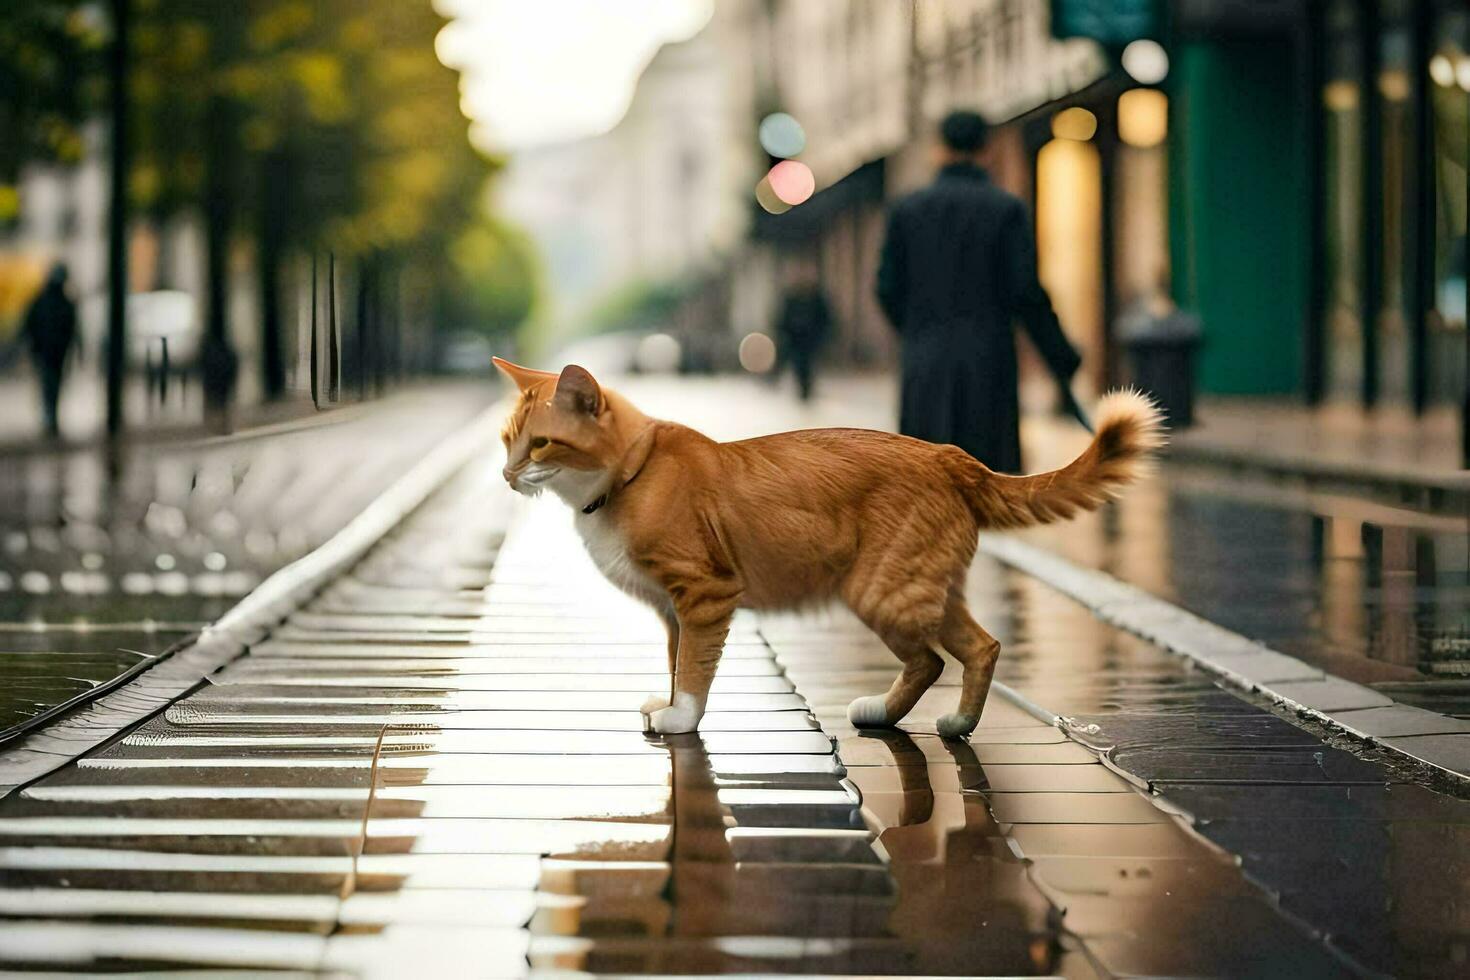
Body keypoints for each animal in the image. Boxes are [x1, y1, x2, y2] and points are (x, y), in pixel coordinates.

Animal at [499, 359, 1164, 734]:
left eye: (540, 445)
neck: (628, 476)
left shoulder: (704, 595)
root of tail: (948, 453)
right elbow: (673, 661)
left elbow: (693, 669)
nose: (505, 475)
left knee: (933, 660)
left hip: (881, 589)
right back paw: (949, 723)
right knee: (980, 648)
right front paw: (666, 705)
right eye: (507, 441)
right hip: (923, 585)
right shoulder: (672, 611)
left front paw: (681, 719)